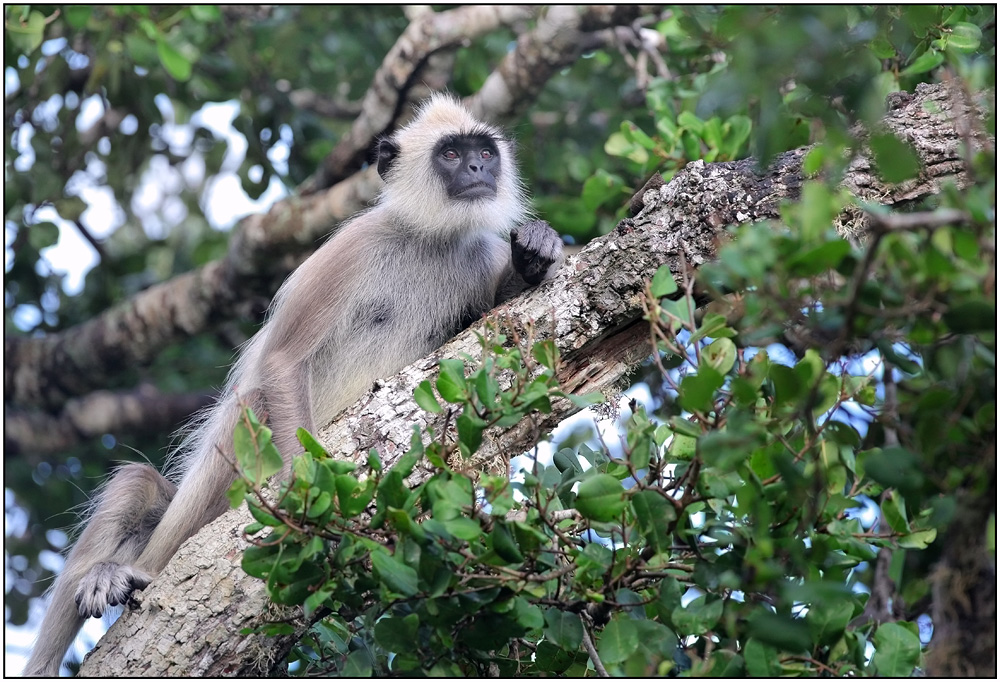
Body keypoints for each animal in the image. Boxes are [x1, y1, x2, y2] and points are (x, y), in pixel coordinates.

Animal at [25, 94, 564, 676]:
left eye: (485, 153)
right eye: (450, 154)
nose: (478, 171)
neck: (430, 240)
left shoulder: (479, 254)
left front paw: (535, 255)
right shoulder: (352, 248)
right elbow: (282, 363)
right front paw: (303, 491)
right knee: (196, 445)